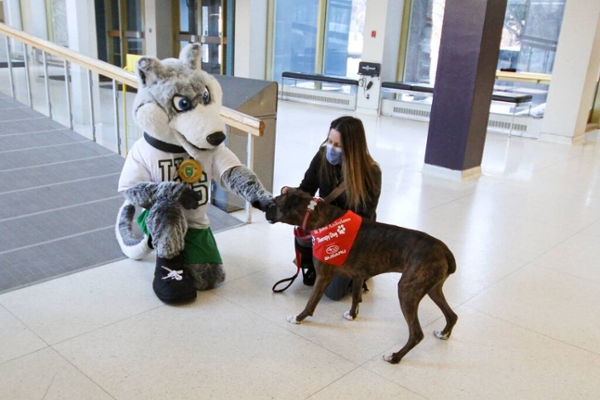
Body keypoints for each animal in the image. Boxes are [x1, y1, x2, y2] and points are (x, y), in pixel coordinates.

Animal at [264, 189, 458, 364]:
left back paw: (395, 357)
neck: (318, 217)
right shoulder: (358, 275)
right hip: (432, 288)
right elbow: (356, 297)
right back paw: (443, 334)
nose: (265, 209)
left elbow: (311, 302)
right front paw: (352, 315)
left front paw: (298, 318)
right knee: (452, 315)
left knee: (416, 333)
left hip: (407, 291)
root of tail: (445, 251)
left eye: (275, 203)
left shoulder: (324, 276)